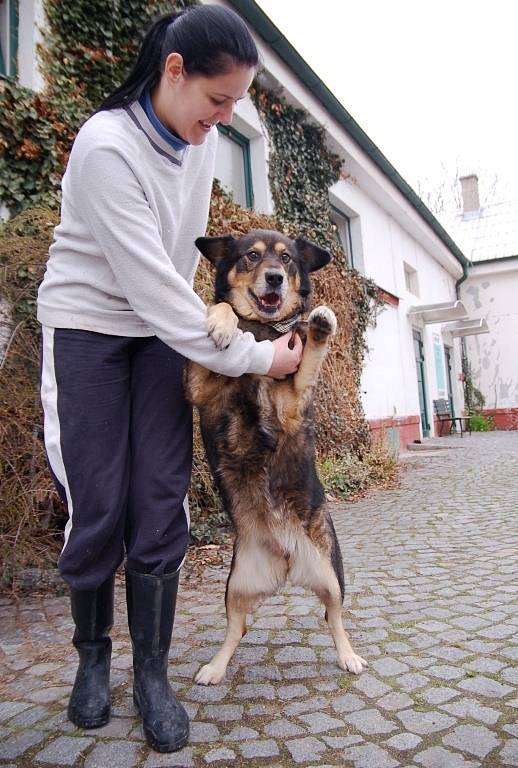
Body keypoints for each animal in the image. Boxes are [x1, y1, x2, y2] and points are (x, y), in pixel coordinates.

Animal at [185, 228, 368, 684]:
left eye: (286, 259)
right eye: (251, 256)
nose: (274, 278)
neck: (262, 331)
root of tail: (286, 561)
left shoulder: (291, 401)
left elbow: (310, 354)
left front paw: (320, 323)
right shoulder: (200, 390)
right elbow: (221, 308)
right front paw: (221, 320)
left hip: (332, 574)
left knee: (334, 617)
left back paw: (349, 656)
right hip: (235, 586)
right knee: (237, 628)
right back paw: (215, 668)